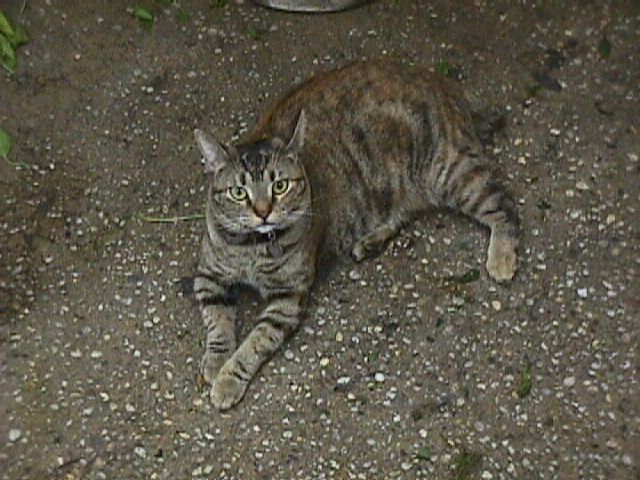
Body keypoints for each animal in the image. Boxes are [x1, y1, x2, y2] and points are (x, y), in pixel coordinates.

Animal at [191, 60, 520, 408]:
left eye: (279, 186)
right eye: (239, 192)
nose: (263, 211)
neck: (253, 248)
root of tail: (437, 81)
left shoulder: (288, 298)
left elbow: (254, 343)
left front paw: (228, 378)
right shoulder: (208, 277)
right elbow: (217, 322)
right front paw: (216, 360)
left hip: (452, 174)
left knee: (504, 204)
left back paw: (502, 258)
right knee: (410, 210)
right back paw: (371, 240)